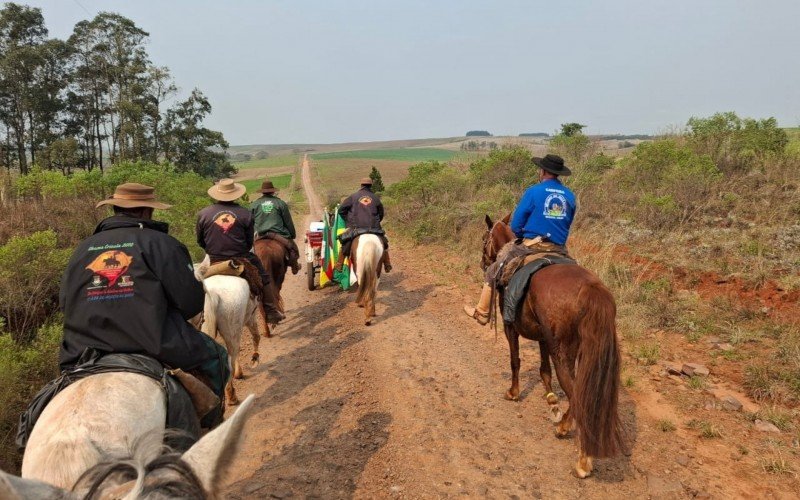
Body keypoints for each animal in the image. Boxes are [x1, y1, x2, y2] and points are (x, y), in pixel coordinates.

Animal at [195, 260, 268, 404]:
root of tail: (213, 293)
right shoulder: (250, 318)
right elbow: (256, 337)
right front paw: (255, 358)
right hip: (233, 328)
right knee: (231, 356)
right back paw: (232, 395)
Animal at [482, 214, 624, 476]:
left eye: (484, 239)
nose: (484, 263)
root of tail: (591, 290)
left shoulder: (510, 327)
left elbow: (515, 360)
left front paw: (513, 392)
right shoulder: (543, 336)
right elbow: (544, 368)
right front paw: (549, 397)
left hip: (564, 354)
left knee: (578, 394)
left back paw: (579, 453)